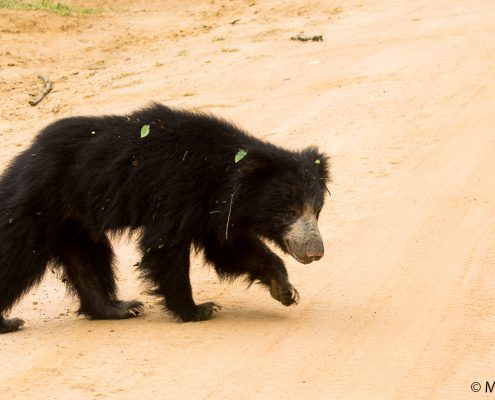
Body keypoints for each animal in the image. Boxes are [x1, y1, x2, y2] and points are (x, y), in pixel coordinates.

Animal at [0, 101, 334, 332]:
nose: (315, 252)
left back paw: (117, 309)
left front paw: (285, 291)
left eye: (316, 211)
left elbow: (231, 249)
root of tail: (25, 157)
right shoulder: (177, 190)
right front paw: (197, 310)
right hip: (37, 205)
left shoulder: (211, 211)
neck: (223, 173)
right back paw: (9, 323)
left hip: (73, 222)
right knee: (17, 257)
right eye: (290, 211)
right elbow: (164, 247)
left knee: (88, 259)